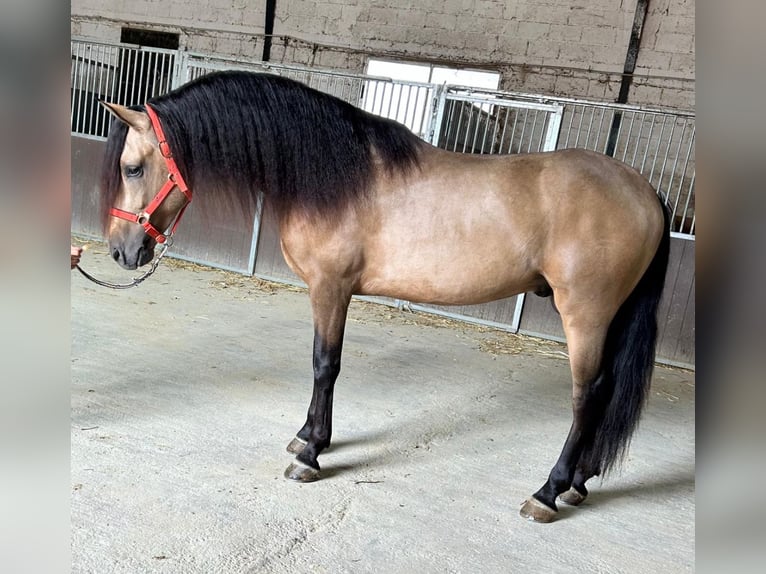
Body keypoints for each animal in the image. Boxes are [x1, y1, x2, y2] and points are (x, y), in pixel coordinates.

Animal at [99, 70, 668, 524]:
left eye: (132, 168)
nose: (122, 251)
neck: (335, 175)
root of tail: (644, 192)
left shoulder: (331, 287)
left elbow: (324, 363)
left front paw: (309, 457)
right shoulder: (332, 290)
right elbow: (323, 365)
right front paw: (307, 436)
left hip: (585, 313)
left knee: (587, 394)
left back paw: (548, 492)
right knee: (606, 392)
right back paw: (578, 483)